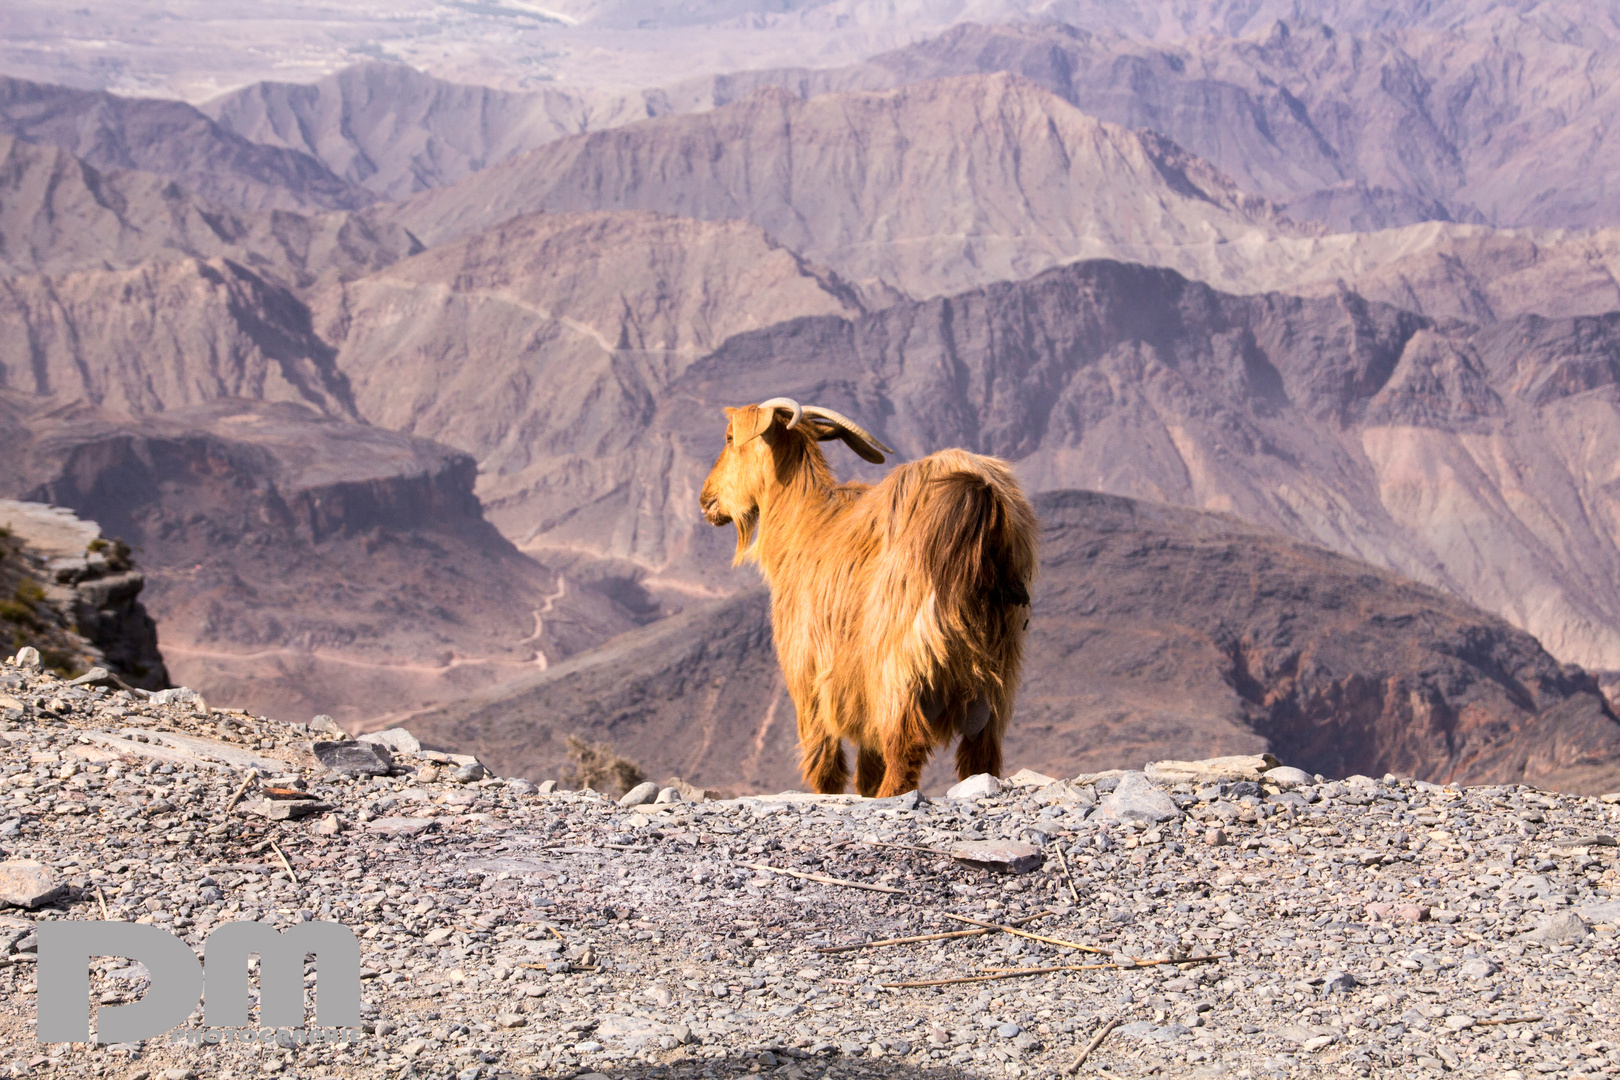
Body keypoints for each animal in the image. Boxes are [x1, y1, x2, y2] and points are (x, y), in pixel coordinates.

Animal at [696, 401, 1036, 799]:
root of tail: (979, 494)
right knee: (982, 753)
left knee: (906, 745)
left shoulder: (808, 673)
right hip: (996, 670)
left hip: (900, 660)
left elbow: (825, 762)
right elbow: (868, 764)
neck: (805, 523)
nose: (706, 500)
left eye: (729, 437)